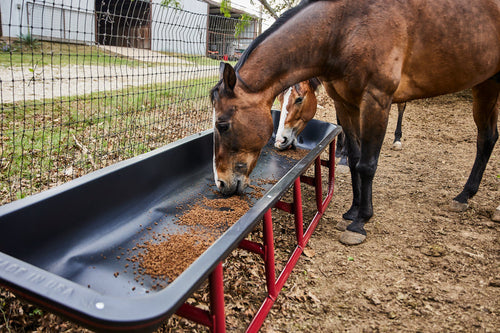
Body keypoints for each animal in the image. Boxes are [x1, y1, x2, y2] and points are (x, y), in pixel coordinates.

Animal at [209, 0, 498, 244]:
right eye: (279, 99)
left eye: (223, 124)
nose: (221, 183)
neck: (345, 29)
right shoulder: (346, 102)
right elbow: (356, 159)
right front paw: (353, 210)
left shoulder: (376, 100)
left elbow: (368, 164)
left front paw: (360, 222)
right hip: (486, 84)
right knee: (488, 138)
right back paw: (465, 195)